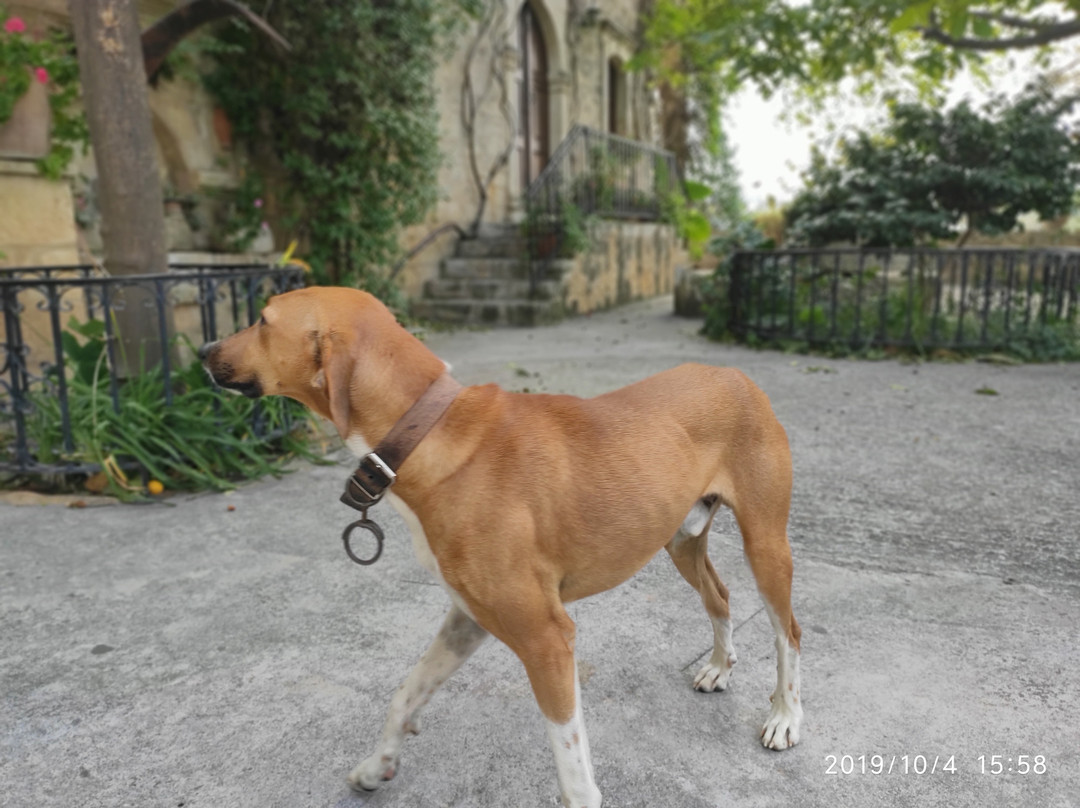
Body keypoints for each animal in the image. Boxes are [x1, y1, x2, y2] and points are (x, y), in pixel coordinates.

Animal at [200, 287, 803, 803]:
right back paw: (719, 667)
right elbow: (404, 695)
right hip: (681, 540)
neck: (427, 430)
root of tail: (734, 373)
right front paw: (377, 767)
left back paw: (784, 718)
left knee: (788, 634)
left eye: (262, 320)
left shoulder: (546, 638)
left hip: (765, 545)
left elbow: (574, 773)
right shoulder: (468, 617)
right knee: (720, 597)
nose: (202, 351)